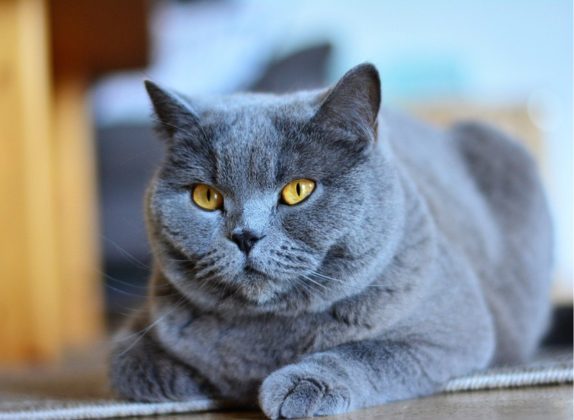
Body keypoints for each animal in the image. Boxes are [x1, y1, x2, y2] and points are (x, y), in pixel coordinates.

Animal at [110, 63, 556, 420]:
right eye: (206, 196)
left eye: (298, 190)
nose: (245, 235)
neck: (269, 331)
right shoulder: (137, 331)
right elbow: (133, 367)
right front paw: (203, 380)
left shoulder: (454, 329)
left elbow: (369, 352)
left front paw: (300, 386)